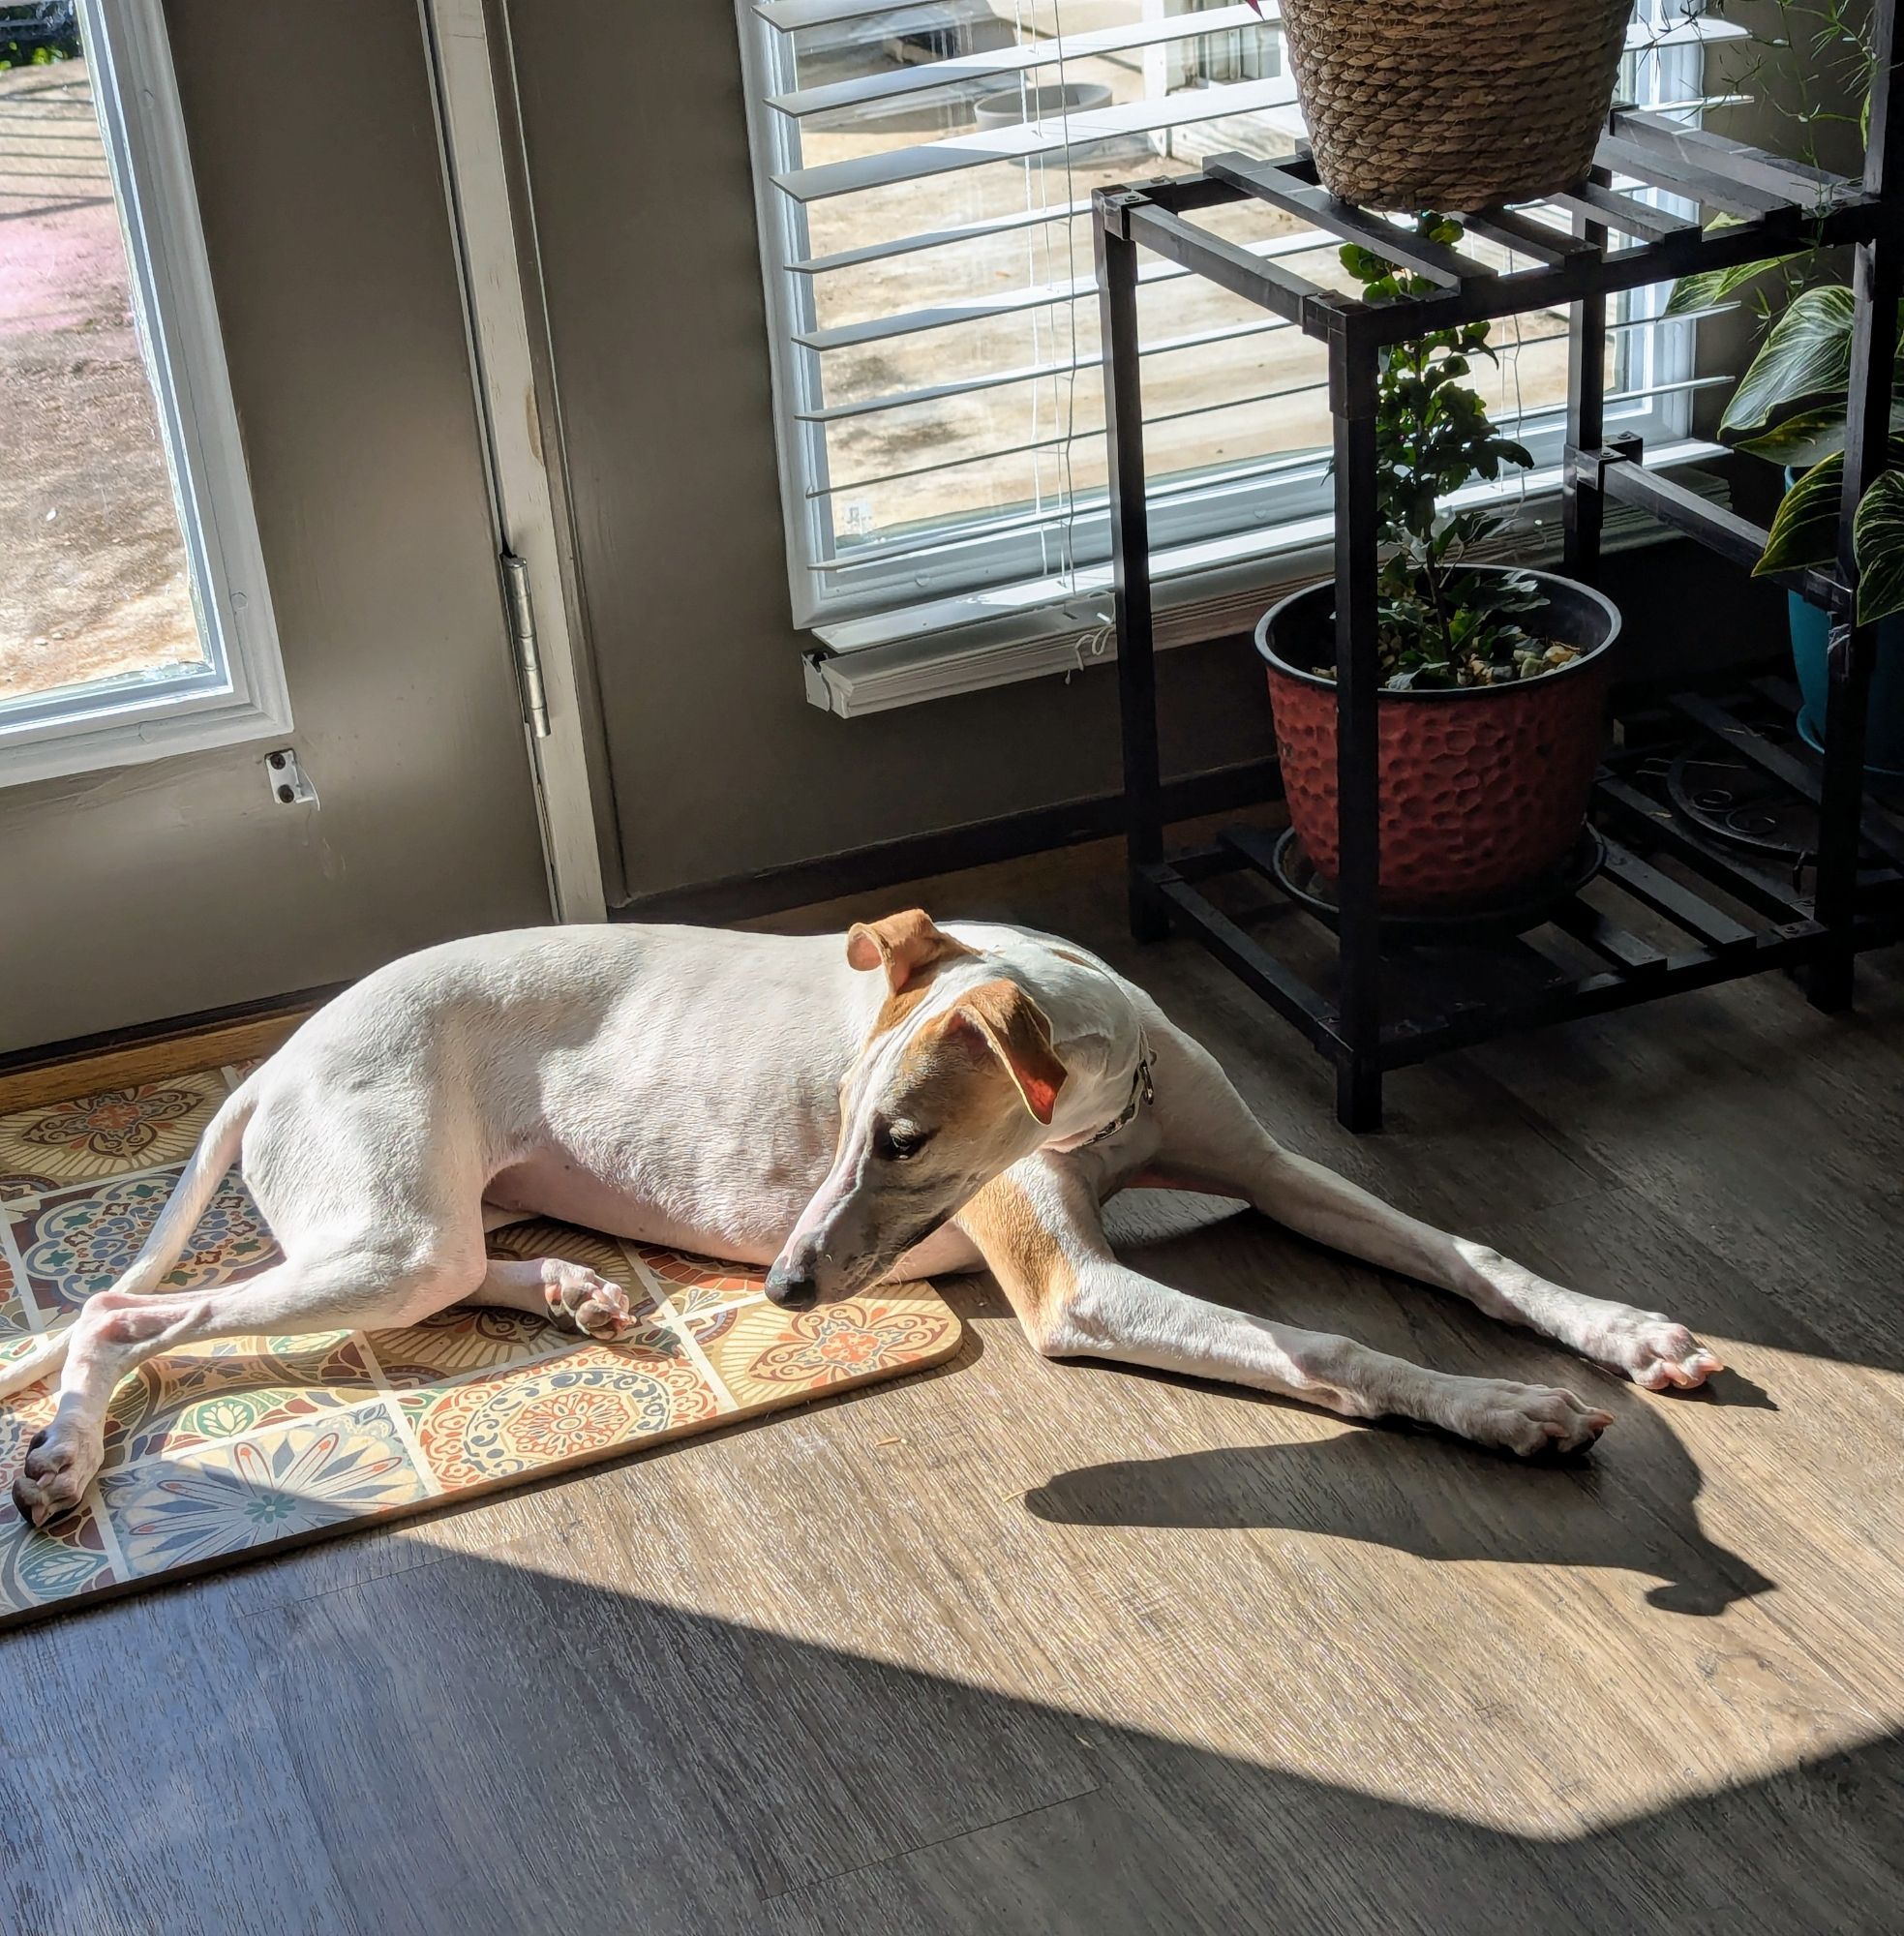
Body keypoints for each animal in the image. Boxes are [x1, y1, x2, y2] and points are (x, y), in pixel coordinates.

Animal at [3, 910, 1726, 1526]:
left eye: (896, 1139)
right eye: (839, 1123)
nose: (773, 1293)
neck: (1103, 1095)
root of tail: (275, 1054)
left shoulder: (1277, 1166)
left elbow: (1463, 1252)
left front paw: (1623, 1335)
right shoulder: (1079, 1291)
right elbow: (1334, 1350)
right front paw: (1507, 1414)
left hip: (421, 1242)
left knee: (473, 1272)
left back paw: (582, 1293)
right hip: (382, 1231)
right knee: (125, 1312)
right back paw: (62, 1458)